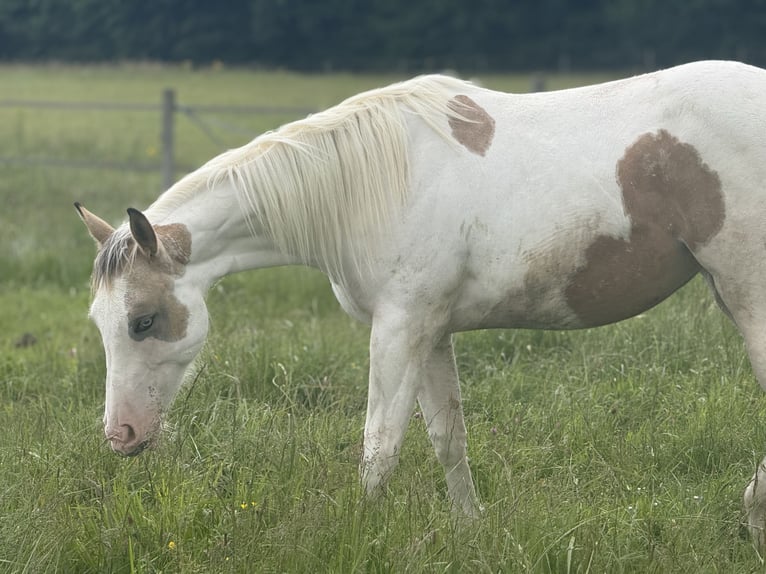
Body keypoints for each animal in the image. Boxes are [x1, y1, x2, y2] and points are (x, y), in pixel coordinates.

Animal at [76, 60, 766, 543]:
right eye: (100, 325)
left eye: (143, 320)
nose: (121, 435)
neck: (369, 184)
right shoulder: (431, 332)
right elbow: (446, 438)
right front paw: (470, 530)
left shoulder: (398, 329)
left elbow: (379, 446)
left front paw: (359, 536)